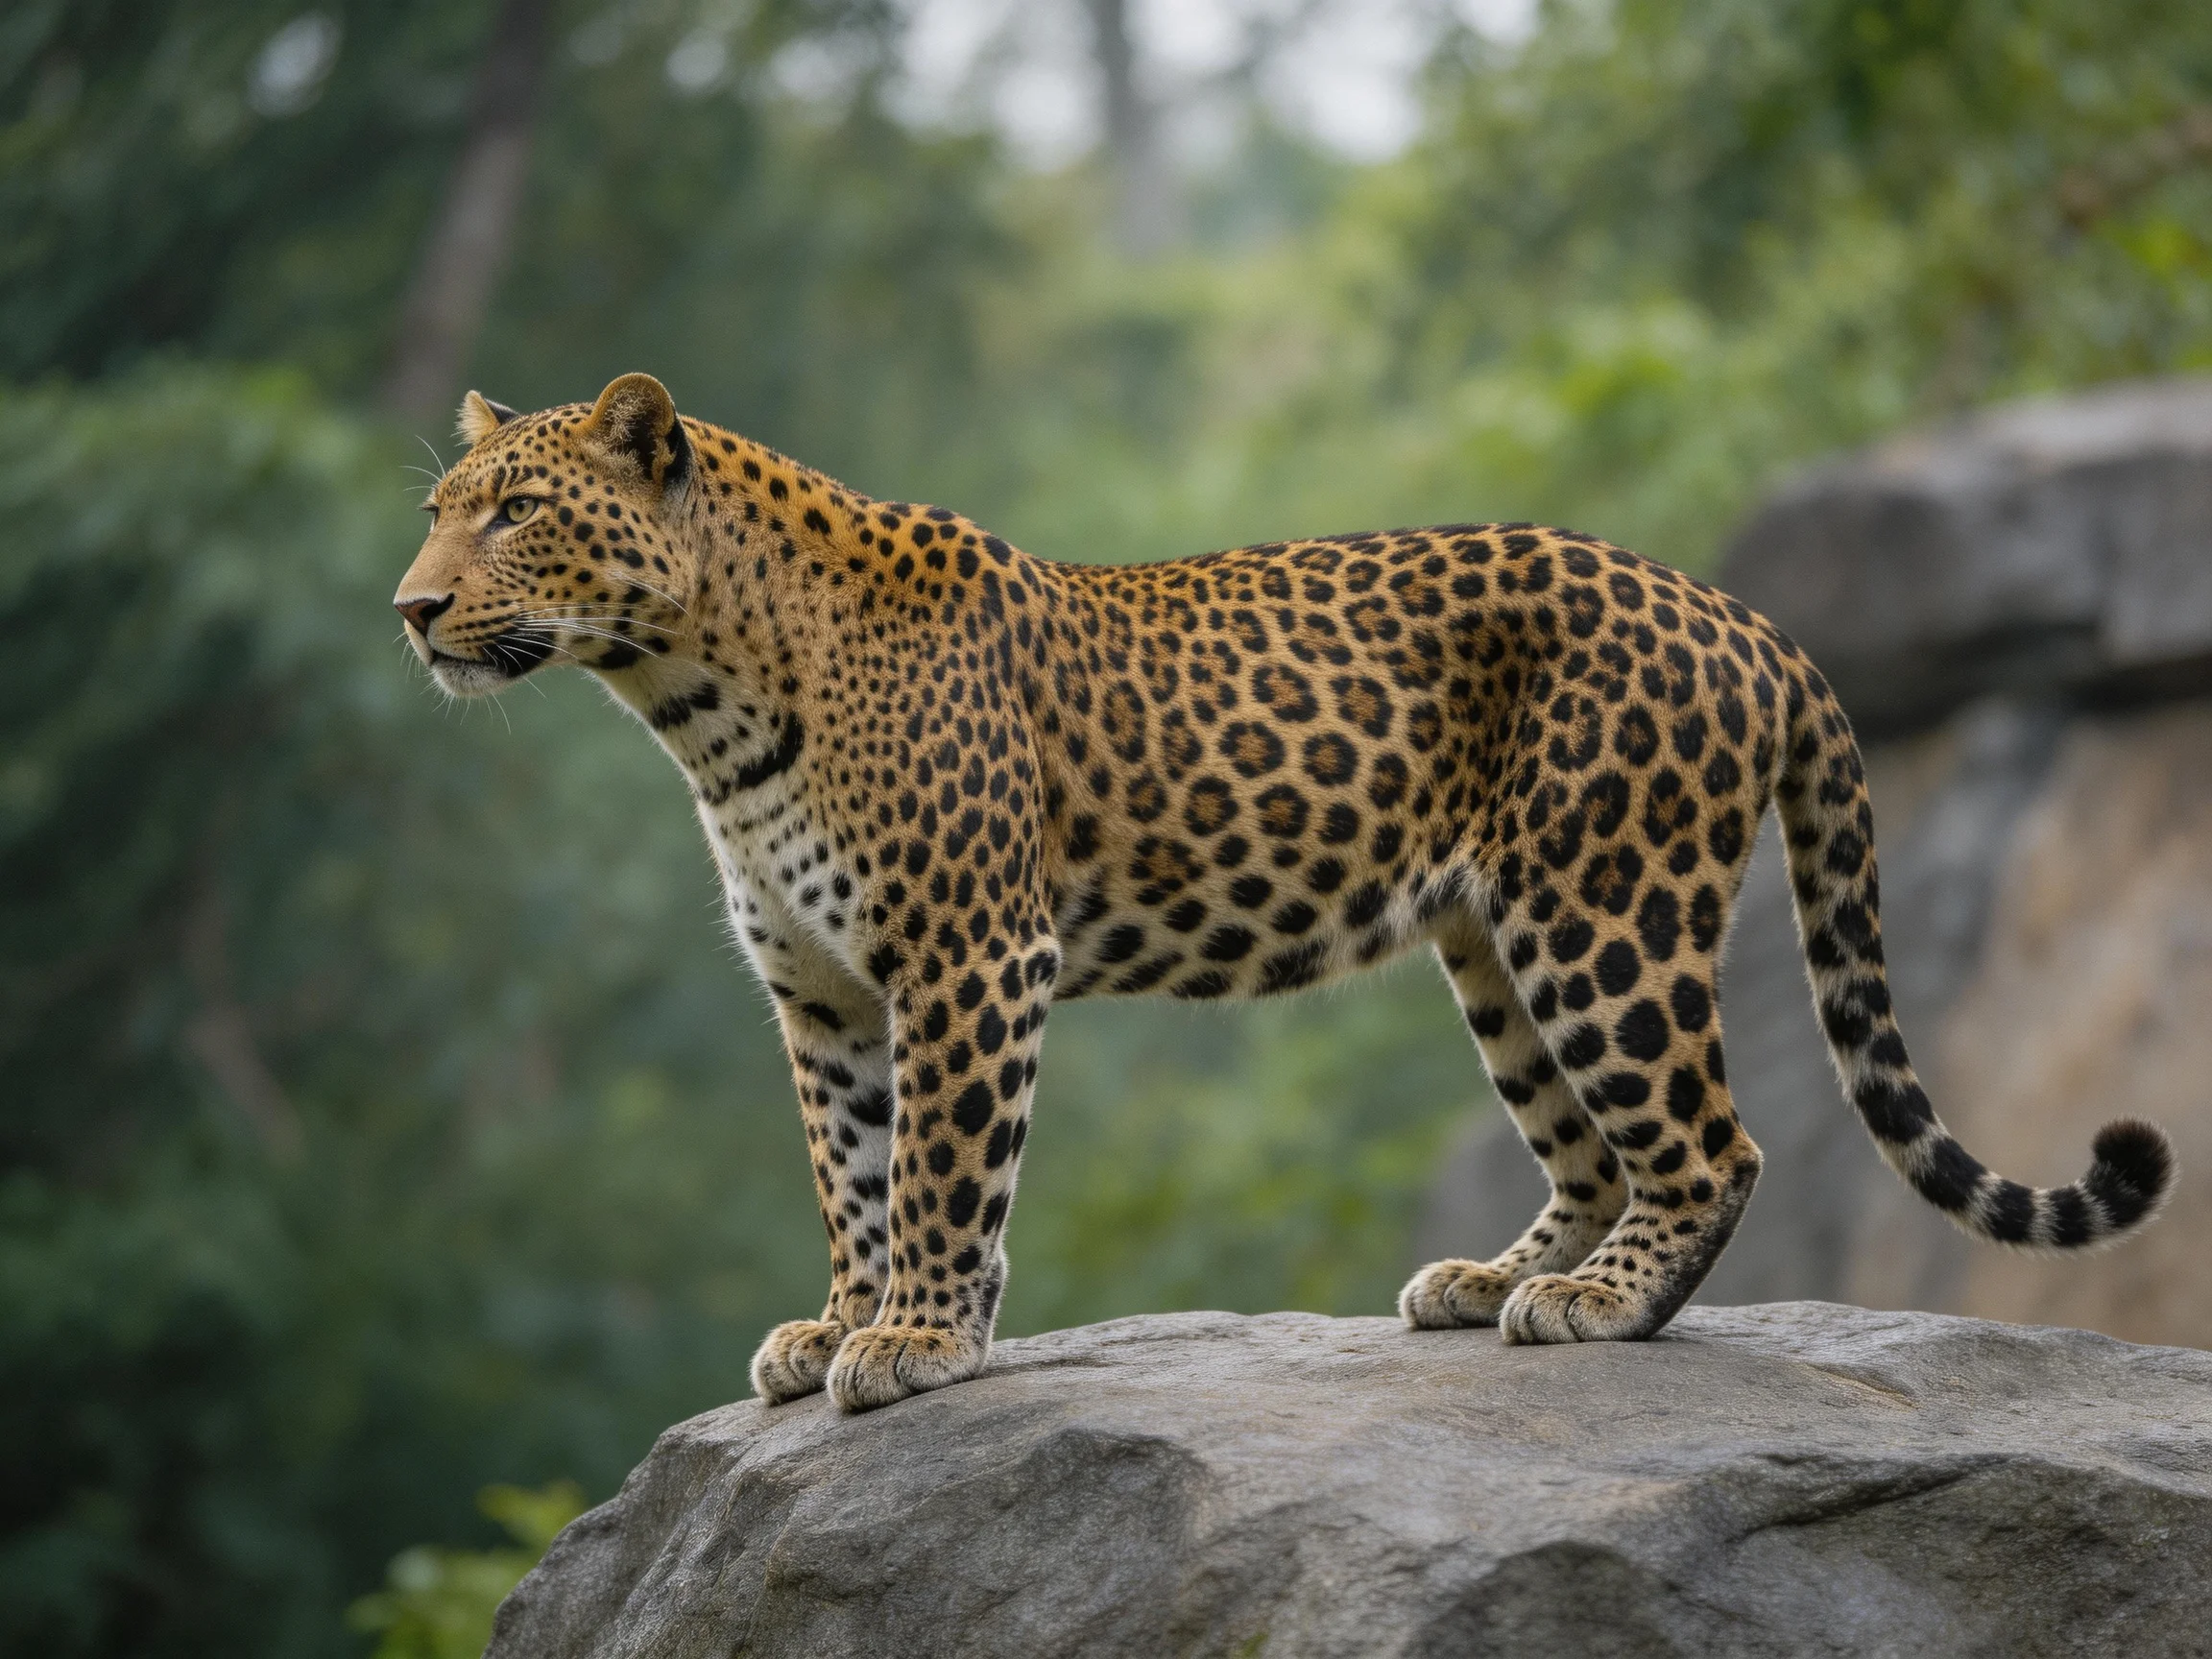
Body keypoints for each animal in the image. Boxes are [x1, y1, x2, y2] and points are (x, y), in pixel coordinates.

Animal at [394, 373, 2175, 1414]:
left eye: (517, 509)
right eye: (436, 509)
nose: (408, 609)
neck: (697, 695)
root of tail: (1746, 617)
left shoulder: (970, 958)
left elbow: (944, 1171)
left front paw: (917, 1337)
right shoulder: (821, 991)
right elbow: (852, 1172)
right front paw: (834, 1324)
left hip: (1603, 909)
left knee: (1707, 1142)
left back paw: (1593, 1309)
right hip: (1489, 943)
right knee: (1591, 1145)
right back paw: (1490, 1281)